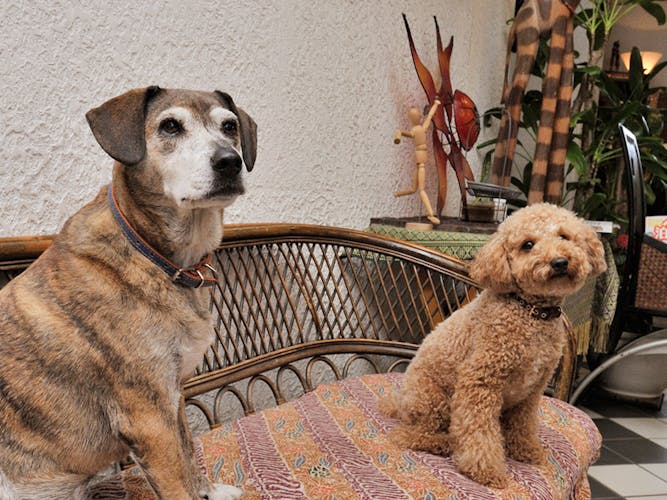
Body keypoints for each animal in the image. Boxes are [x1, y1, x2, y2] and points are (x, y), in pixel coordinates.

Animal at [0, 88, 258, 498]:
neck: (159, 258)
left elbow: (189, 454)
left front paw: (209, 491)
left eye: (229, 126)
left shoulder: (173, 397)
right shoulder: (149, 418)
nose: (229, 162)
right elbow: (177, 483)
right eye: (170, 126)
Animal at [380, 201, 604, 486]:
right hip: (431, 400)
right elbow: (479, 431)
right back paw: (443, 443)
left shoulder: (531, 392)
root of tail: (398, 405)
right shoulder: (480, 381)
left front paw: (526, 450)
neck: (529, 311)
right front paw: (485, 469)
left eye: (564, 236)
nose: (560, 262)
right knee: (407, 435)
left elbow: (522, 425)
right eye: (528, 245)